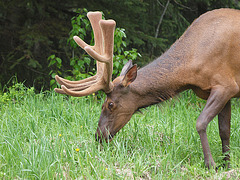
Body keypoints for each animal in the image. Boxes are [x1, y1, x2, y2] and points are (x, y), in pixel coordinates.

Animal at [54, 8, 240, 169]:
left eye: (110, 104)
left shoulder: (225, 85)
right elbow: (224, 131)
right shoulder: (224, 93)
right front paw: (227, 166)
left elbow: (201, 122)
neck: (191, 69)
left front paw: (211, 164)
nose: (99, 136)